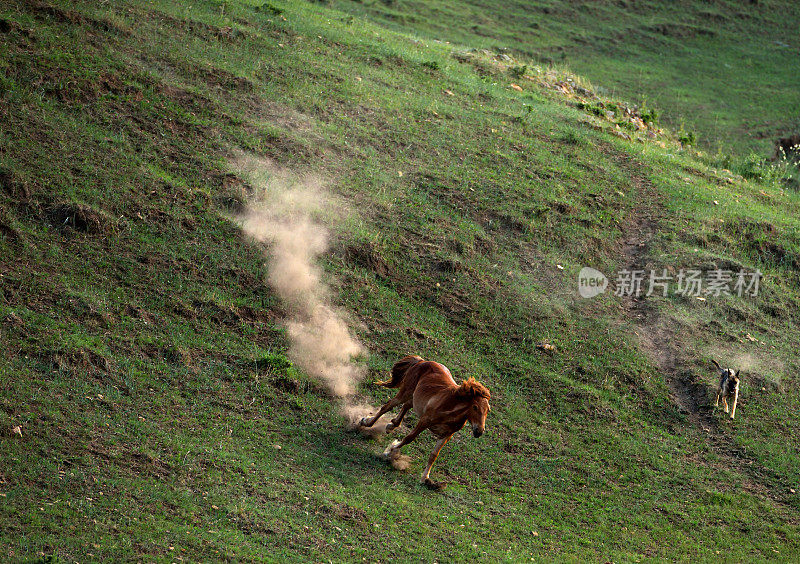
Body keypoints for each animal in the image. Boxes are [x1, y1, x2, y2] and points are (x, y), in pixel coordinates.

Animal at [360, 356, 490, 490]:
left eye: (488, 410)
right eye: (475, 407)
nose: (479, 431)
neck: (451, 409)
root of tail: (421, 361)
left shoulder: (446, 435)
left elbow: (434, 455)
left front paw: (425, 478)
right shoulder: (424, 421)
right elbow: (409, 438)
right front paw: (390, 450)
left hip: (414, 396)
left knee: (406, 405)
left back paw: (391, 425)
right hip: (405, 392)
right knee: (388, 406)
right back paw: (366, 422)